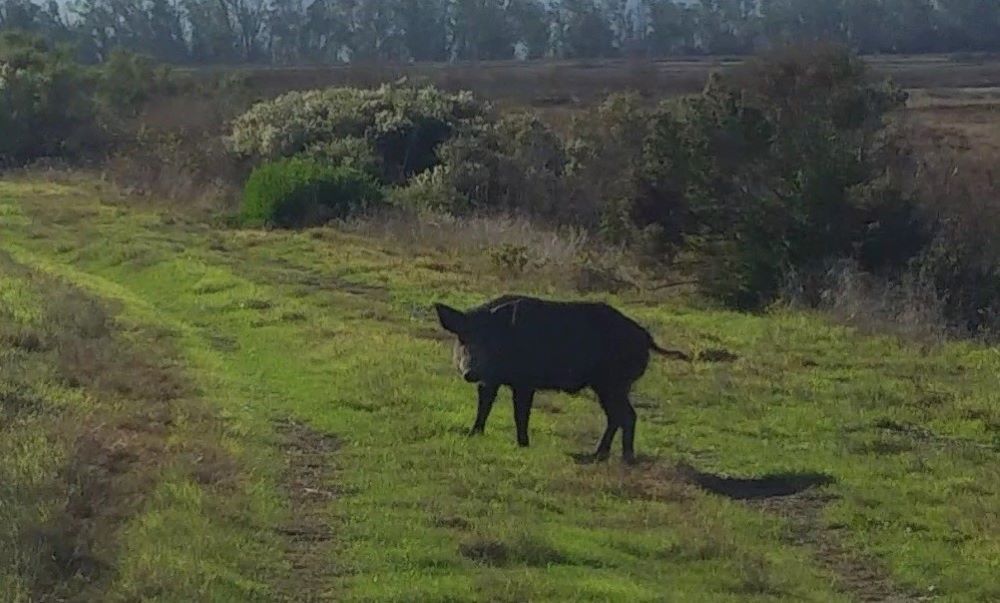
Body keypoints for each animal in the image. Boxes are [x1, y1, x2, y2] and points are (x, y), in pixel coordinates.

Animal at [434, 295, 691, 464]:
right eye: (463, 338)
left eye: (489, 339)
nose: (470, 372)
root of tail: (646, 338)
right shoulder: (490, 381)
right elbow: (484, 406)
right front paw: (473, 434)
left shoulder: (525, 382)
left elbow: (521, 413)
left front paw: (523, 445)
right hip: (608, 386)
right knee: (618, 416)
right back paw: (600, 455)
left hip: (614, 383)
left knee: (626, 415)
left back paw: (621, 458)